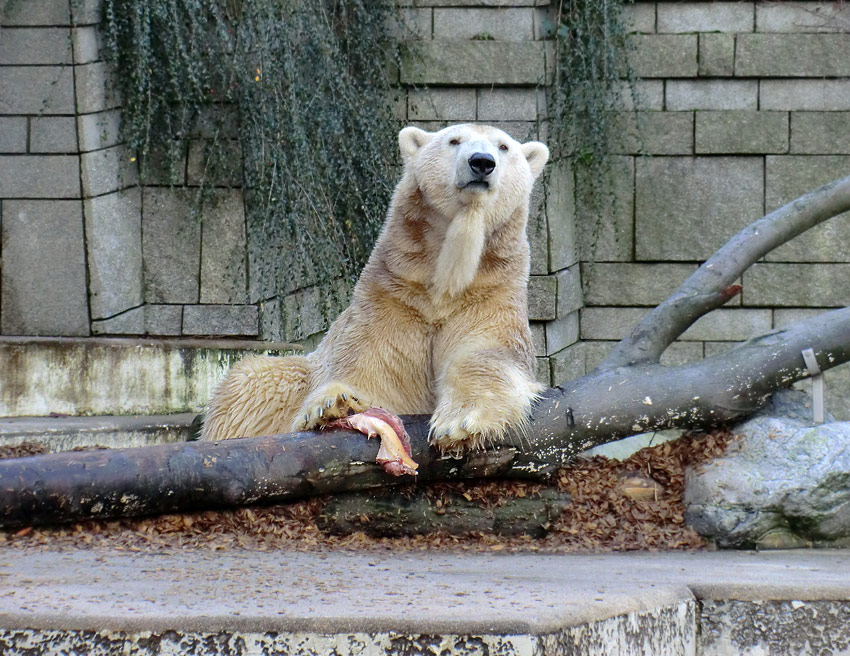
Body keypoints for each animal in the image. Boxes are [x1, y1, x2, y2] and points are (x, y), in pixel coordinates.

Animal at [201, 123, 548, 454]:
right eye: (454, 141)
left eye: (503, 147)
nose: (482, 162)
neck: (447, 281)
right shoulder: (392, 296)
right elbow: (371, 365)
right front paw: (334, 405)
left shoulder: (490, 294)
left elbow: (487, 356)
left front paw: (461, 424)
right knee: (251, 383)